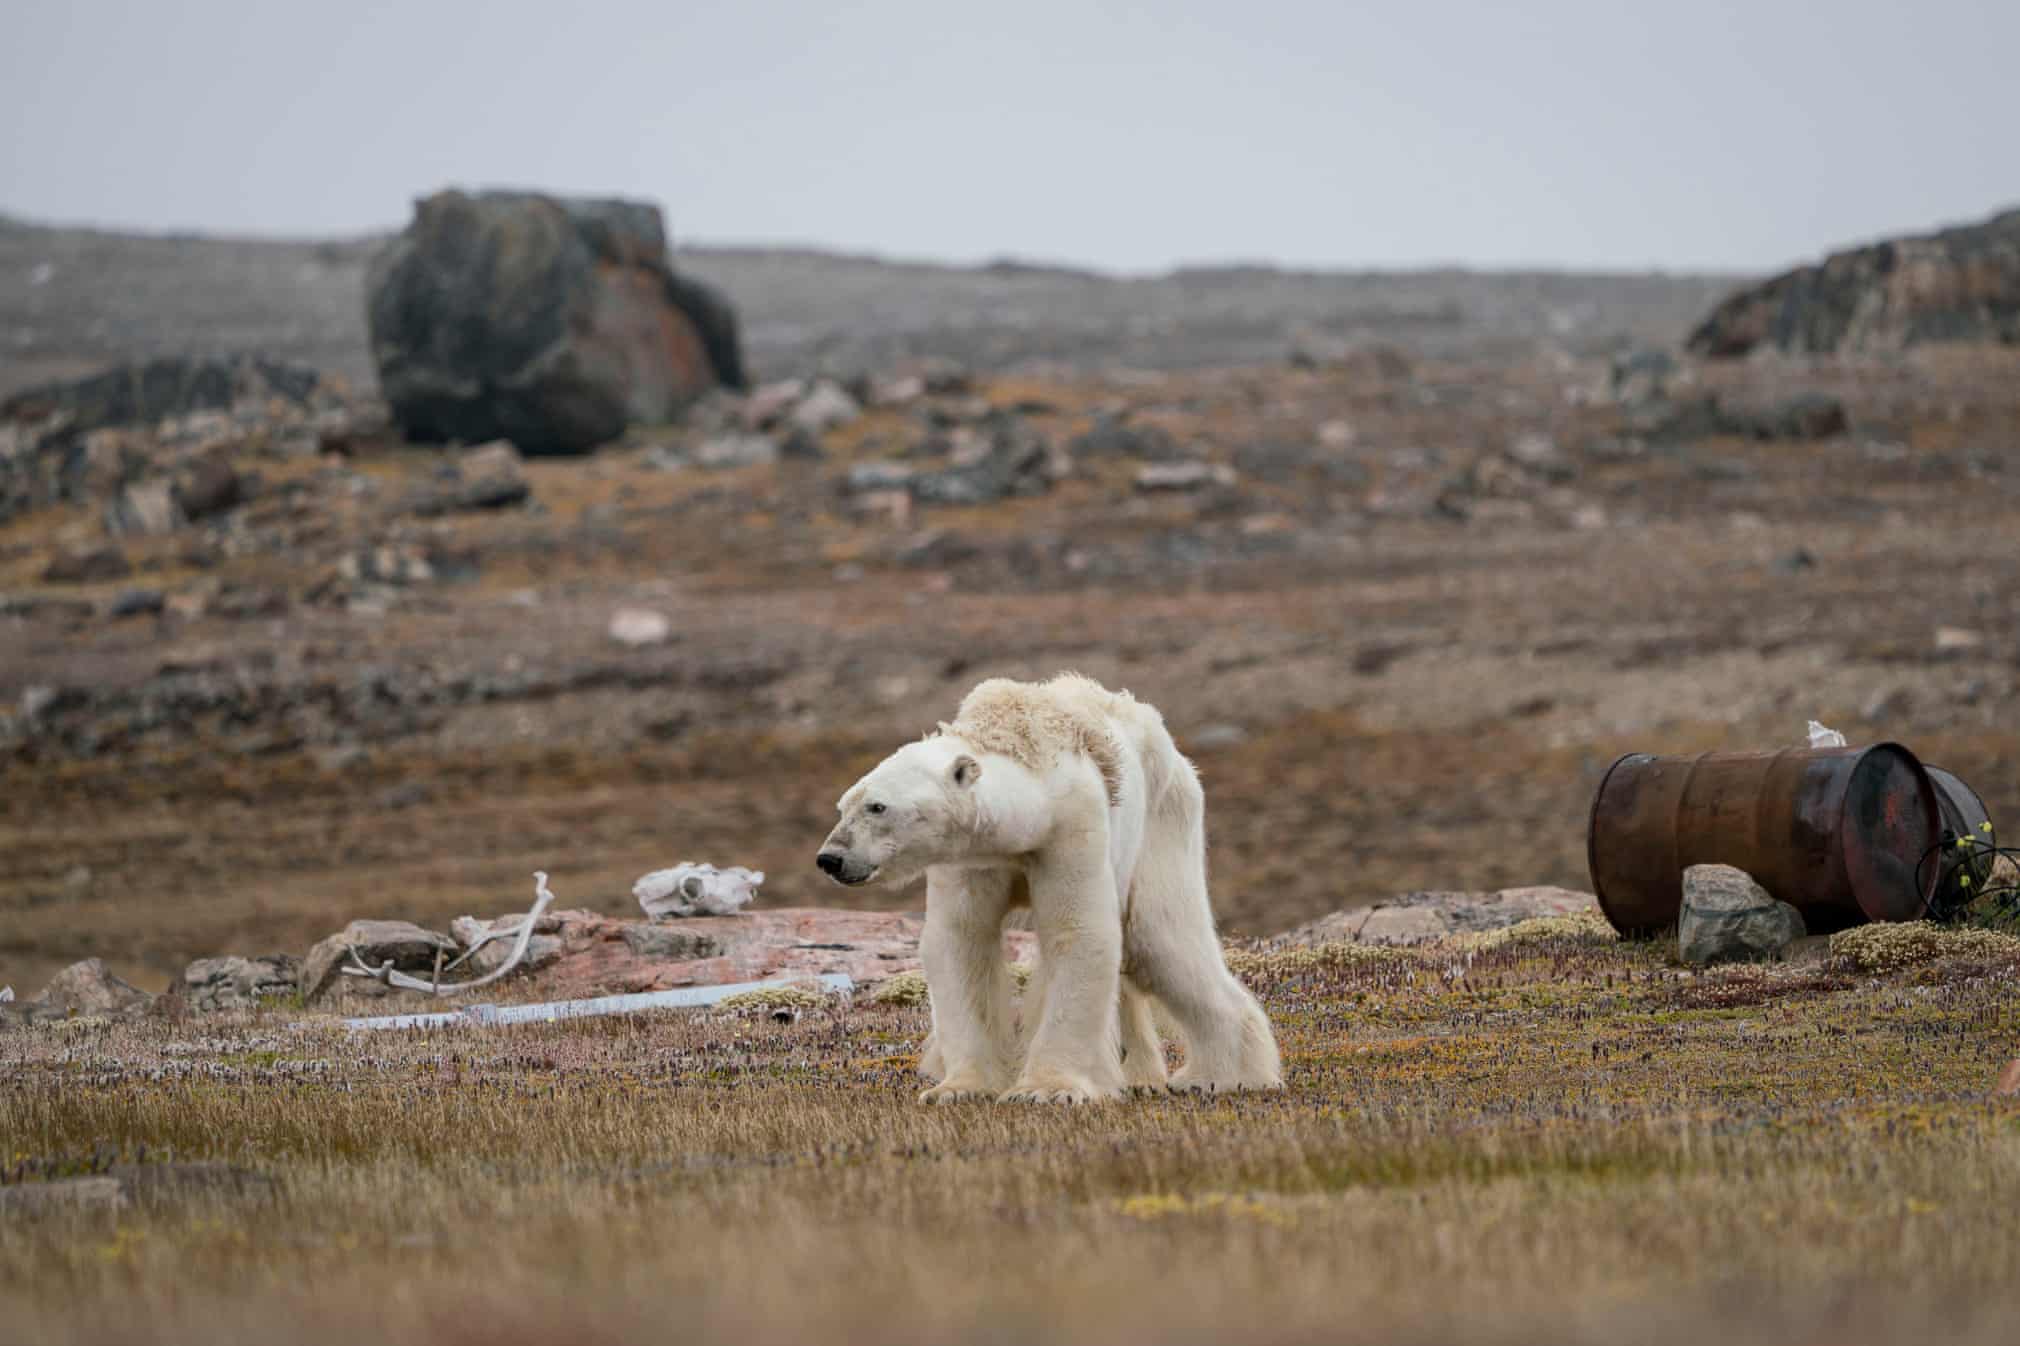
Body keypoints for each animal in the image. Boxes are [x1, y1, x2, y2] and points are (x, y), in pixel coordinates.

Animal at [816, 670, 1276, 1099]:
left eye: (877, 806)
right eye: (843, 806)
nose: (830, 858)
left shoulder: (1071, 827)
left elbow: (1077, 932)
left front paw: (1047, 1089)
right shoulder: (971, 856)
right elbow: (960, 939)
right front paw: (958, 1087)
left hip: (1164, 821)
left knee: (1160, 939)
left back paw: (1222, 1076)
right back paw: (1139, 1074)